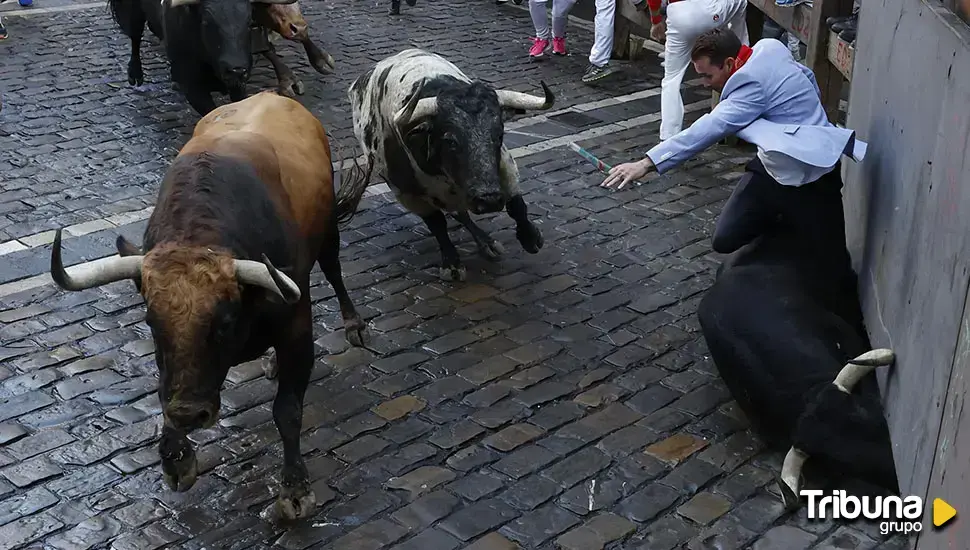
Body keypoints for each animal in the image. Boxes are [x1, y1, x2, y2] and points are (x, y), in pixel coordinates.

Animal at [51, 89, 372, 520]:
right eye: (151, 322)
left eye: (223, 322)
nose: (192, 414)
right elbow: (164, 394)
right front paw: (176, 459)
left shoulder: (296, 327)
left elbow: (287, 411)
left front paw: (295, 488)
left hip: (329, 237)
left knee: (335, 271)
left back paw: (353, 325)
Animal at [342, 49, 556, 282]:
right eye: (450, 140)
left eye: (499, 134)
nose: (488, 200)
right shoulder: (407, 194)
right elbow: (437, 225)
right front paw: (452, 263)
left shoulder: (504, 165)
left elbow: (516, 204)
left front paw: (530, 238)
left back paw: (487, 242)